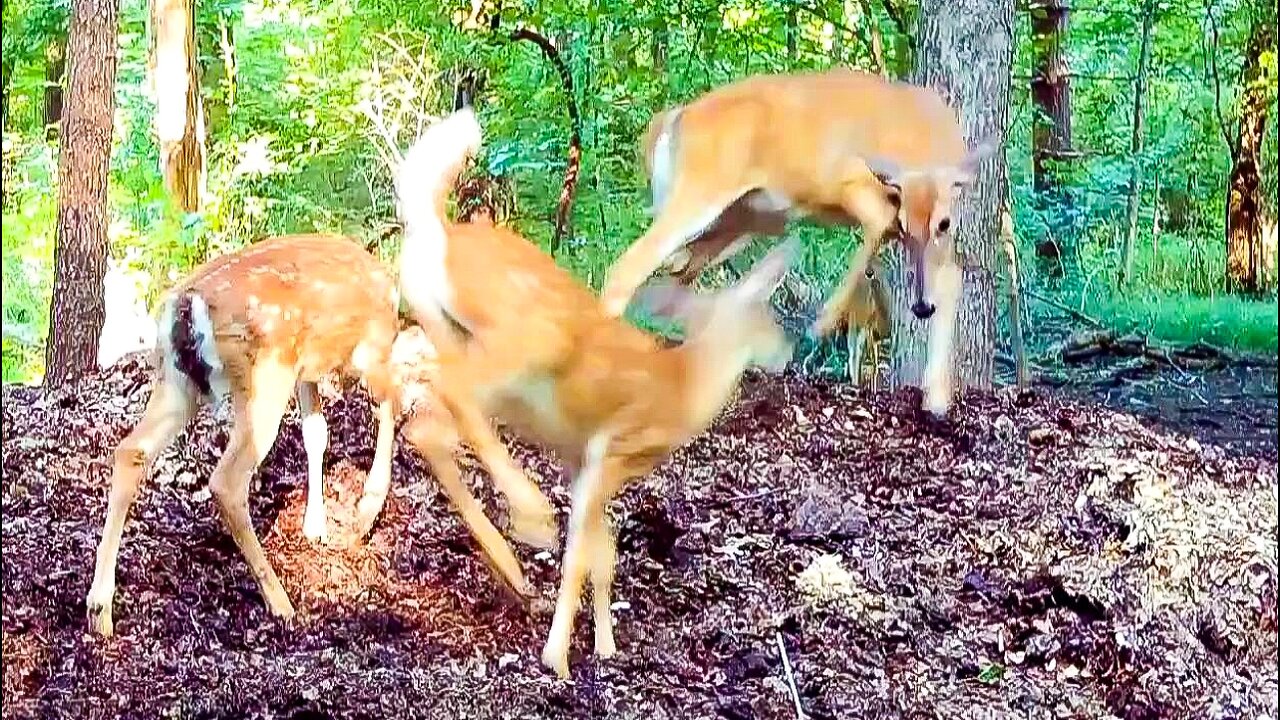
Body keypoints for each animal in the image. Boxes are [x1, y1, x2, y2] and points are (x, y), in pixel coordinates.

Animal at [85, 235, 399, 632]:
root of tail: (186, 304)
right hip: (264, 375)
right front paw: (366, 511)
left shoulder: (307, 371)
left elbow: (316, 434)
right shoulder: (374, 346)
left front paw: (316, 527)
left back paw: (99, 611)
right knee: (227, 481)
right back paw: (281, 602)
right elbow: (389, 407)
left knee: (131, 450)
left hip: (177, 383)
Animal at [394, 109, 793, 676]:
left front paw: (605, 645)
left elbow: (604, 556)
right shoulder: (616, 448)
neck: (685, 384)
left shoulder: (580, 455)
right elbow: (581, 555)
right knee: (449, 407)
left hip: (448, 333)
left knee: (429, 426)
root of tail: (435, 233)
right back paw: (531, 515)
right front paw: (557, 658)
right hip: (522, 342)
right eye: (771, 317)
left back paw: (516, 570)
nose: (787, 353)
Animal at [599, 68, 998, 415]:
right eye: (906, 220)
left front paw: (938, 397)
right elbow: (880, 225)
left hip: (742, 220)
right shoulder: (848, 183)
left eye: (944, 223)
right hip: (703, 191)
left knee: (676, 276)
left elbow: (951, 277)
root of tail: (675, 118)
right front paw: (821, 322)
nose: (921, 307)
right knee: (629, 268)